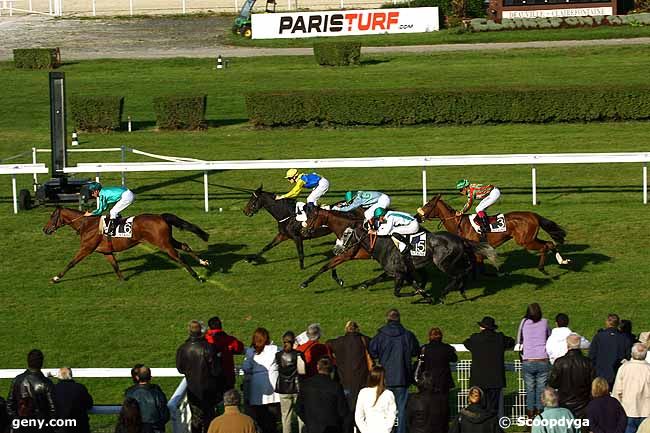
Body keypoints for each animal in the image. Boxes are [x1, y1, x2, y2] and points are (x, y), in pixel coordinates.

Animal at [43, 207, 210, 284]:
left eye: (52, 216)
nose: (45, 230)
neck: (87, 225)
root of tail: (160, 216)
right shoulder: (106, 252)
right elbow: (115, 266)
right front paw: (123, 280)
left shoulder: (86, 249)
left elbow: (71, 263)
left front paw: (56, 278)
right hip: (168, 240)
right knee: (185, 246)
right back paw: (204, 262)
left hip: (163, 244)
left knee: (179, 256)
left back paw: (197, 276)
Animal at [300, 208, 496, 302]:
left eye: (312, 218)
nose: (305, 231)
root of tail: (460, 240)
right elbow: (331, 266)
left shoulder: (350, 254)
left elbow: (326, 265)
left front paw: (305, 282)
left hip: (443, 263)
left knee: (459, 273)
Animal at [416, 194, 568, 272]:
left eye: (428, 205)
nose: (417, 216)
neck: (460, 224)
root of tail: (533, 215)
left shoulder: (477, 251)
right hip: (531, 238)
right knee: (550, 243)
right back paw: (562, 260)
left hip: (526, 241)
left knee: (545, 246)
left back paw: (543, 267)